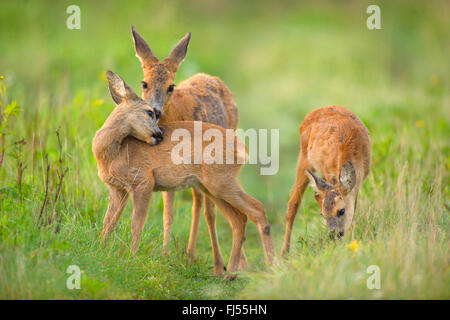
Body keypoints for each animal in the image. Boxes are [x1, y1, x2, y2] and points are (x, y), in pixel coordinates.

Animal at [94, 70, 274, 278]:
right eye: (149, 112)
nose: (160, 135)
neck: (114, 153)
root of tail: (243, 148)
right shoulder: (118, 189)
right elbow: (108, 223)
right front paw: (101, 251)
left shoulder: (143, 181)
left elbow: (136, 224)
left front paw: (131, 258)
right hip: (211, 186)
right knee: (239, 219)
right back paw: (229, 274)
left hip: (220, 182)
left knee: (257, 209)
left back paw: (270, 267)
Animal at [131, 27, 239, 268]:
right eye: (144, 83)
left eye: (171, 86)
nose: (155, 110)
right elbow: (168, 212)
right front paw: (165, 254)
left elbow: (210, 211)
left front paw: (219, 265)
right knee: (198, 202)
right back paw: (190, 253)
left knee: (206, 205)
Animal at [280, 105, 370, 258]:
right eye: (322, 214)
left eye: (341, 211)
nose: (333, 235)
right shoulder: (328, 172)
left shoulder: (357, 185)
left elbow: (354, 207)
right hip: (304, 157)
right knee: (294, 202)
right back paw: (283, 254)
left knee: (315, 194)